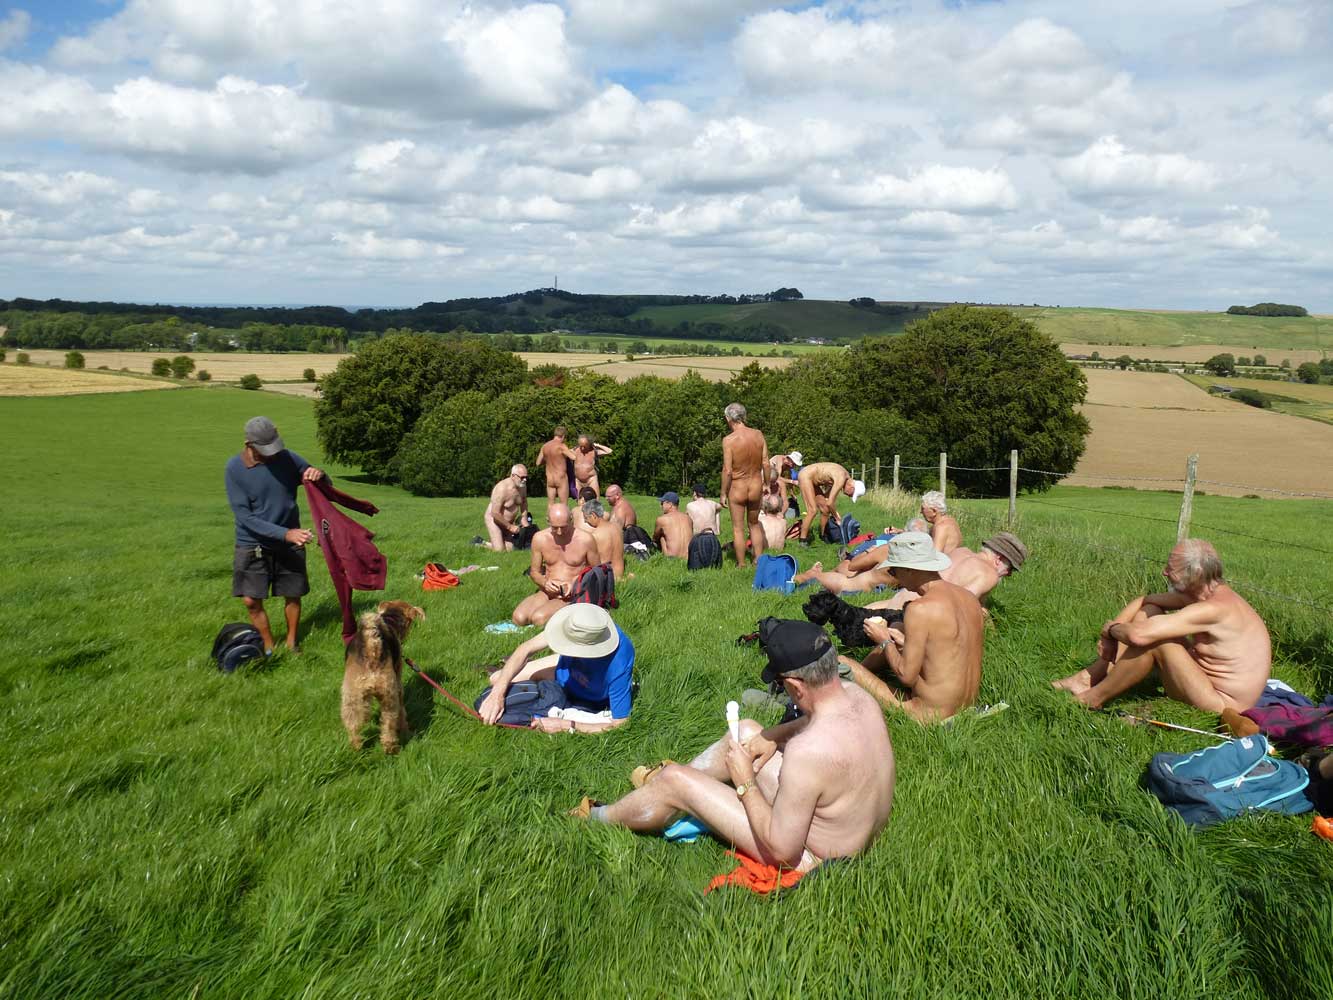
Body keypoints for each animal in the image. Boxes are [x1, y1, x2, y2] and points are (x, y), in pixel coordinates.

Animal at [341, 600, 425, 754]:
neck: (389, 620)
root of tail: (372, 644)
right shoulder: (398, 685)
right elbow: (402, 713)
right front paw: (405, 730)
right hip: (389, 696)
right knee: (388, 723)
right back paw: (391, 747)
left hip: (352, 696)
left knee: (353, 724)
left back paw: (356, 747)